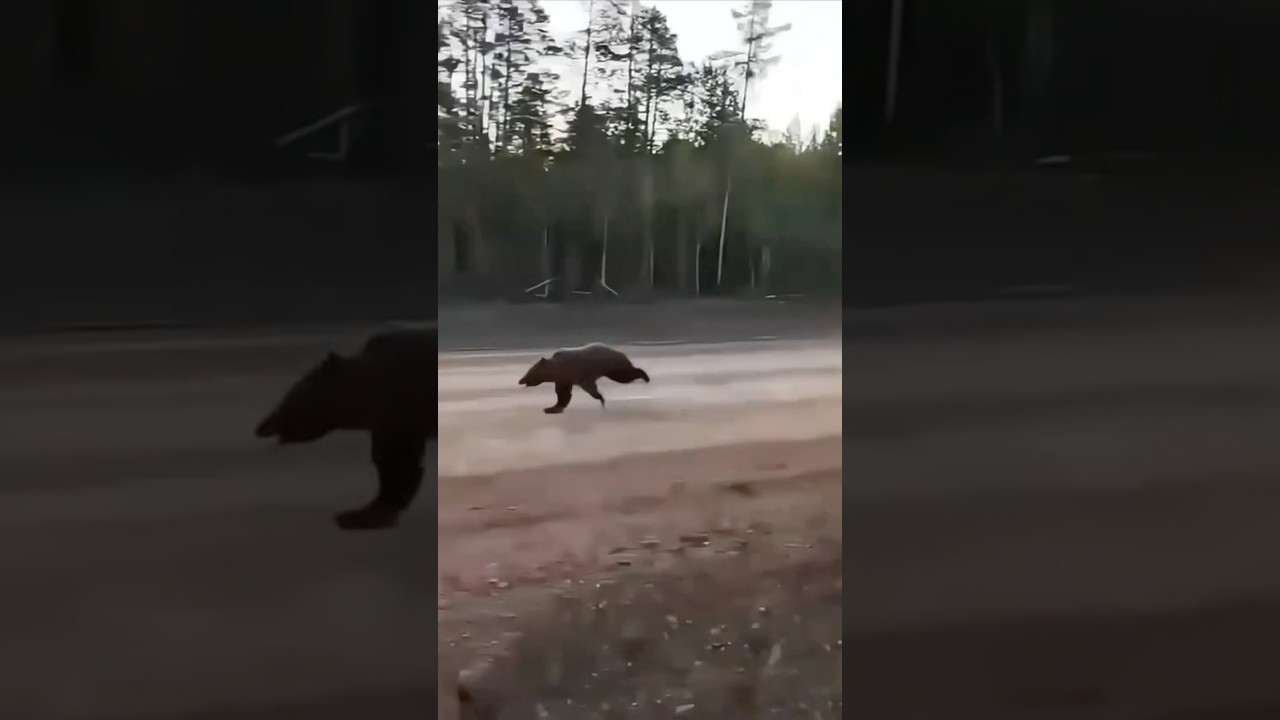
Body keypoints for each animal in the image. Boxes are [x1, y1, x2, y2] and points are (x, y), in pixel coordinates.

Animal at [518, 343, 650, 414]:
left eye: (529, 372)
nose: (520, 380)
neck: (556, 367)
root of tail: (620, 352)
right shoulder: (564, 378)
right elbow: (563, 393)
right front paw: (552, 408)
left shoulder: (574, 372)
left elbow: (583, 388)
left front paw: (600, 398)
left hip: (610, 366)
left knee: (625, 376)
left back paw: (645, 376)